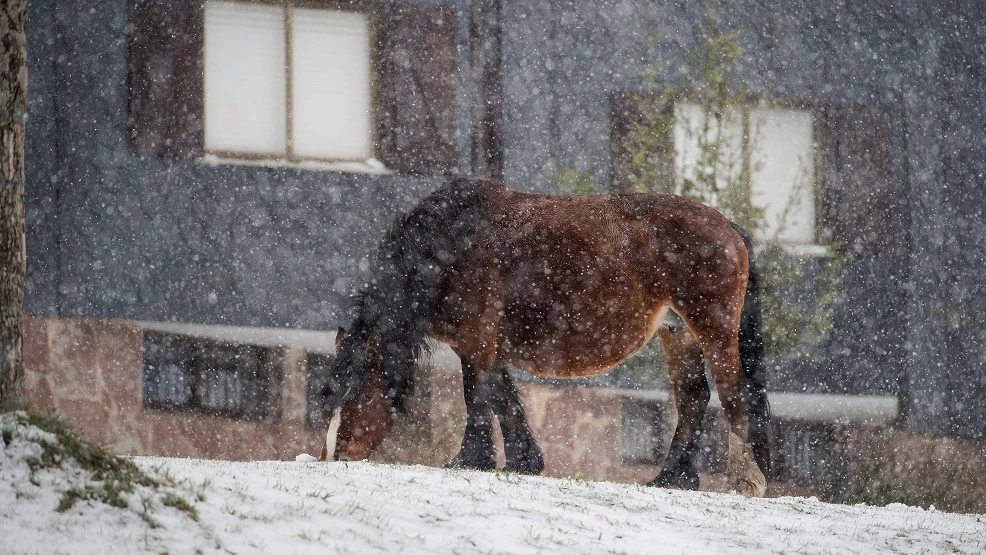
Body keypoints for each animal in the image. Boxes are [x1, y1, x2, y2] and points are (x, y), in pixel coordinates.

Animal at [318, 177, 768, 496]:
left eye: (363, 393)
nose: (335, 456)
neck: (450, 246)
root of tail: (728, 226)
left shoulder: (476, 340)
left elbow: (478, 396)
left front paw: (472, 458)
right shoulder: (485, 345)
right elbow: (501, 396)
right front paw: (524, 460)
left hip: (713, 331)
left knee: (734, 395)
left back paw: (746, 482)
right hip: (678, 335)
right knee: (693, 397)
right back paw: (672, 478)